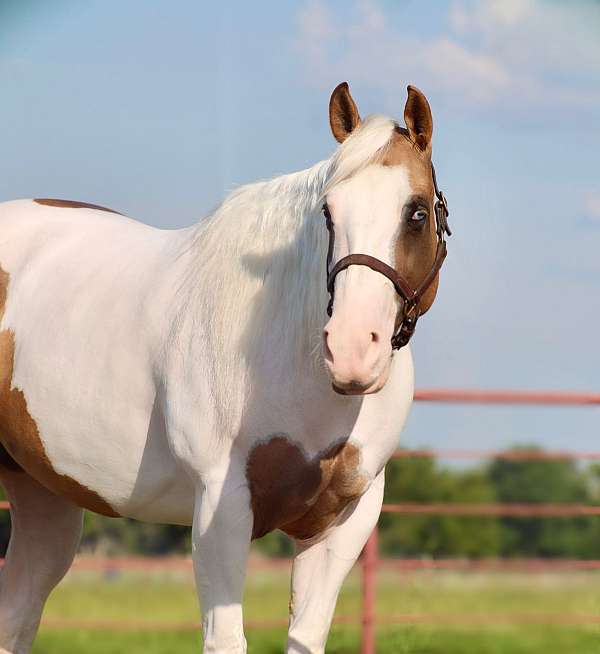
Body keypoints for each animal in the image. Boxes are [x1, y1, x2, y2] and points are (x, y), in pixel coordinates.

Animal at [0, 82, 449, 653]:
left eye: (417, 213)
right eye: (328, 213)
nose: (351, 350)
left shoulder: (343, 520)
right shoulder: (222, 504)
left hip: (43, 494)